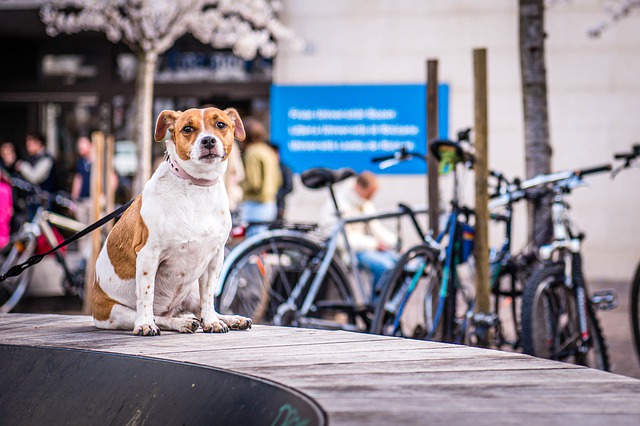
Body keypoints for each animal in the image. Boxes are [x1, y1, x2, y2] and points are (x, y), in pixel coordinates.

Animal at [92, 107, 252, 336]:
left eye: (220, 124)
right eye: (187, 128)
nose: (208, 141)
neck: (196, 186)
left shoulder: (215, 257)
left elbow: (208, 296)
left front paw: (212, 322)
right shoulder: (148, 255)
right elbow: (146, 295)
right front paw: (145, 324)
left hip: (191, 290)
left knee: (198, 308)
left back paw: (229, 319)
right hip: (115, 312)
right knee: (159, 317)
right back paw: (179, 322)